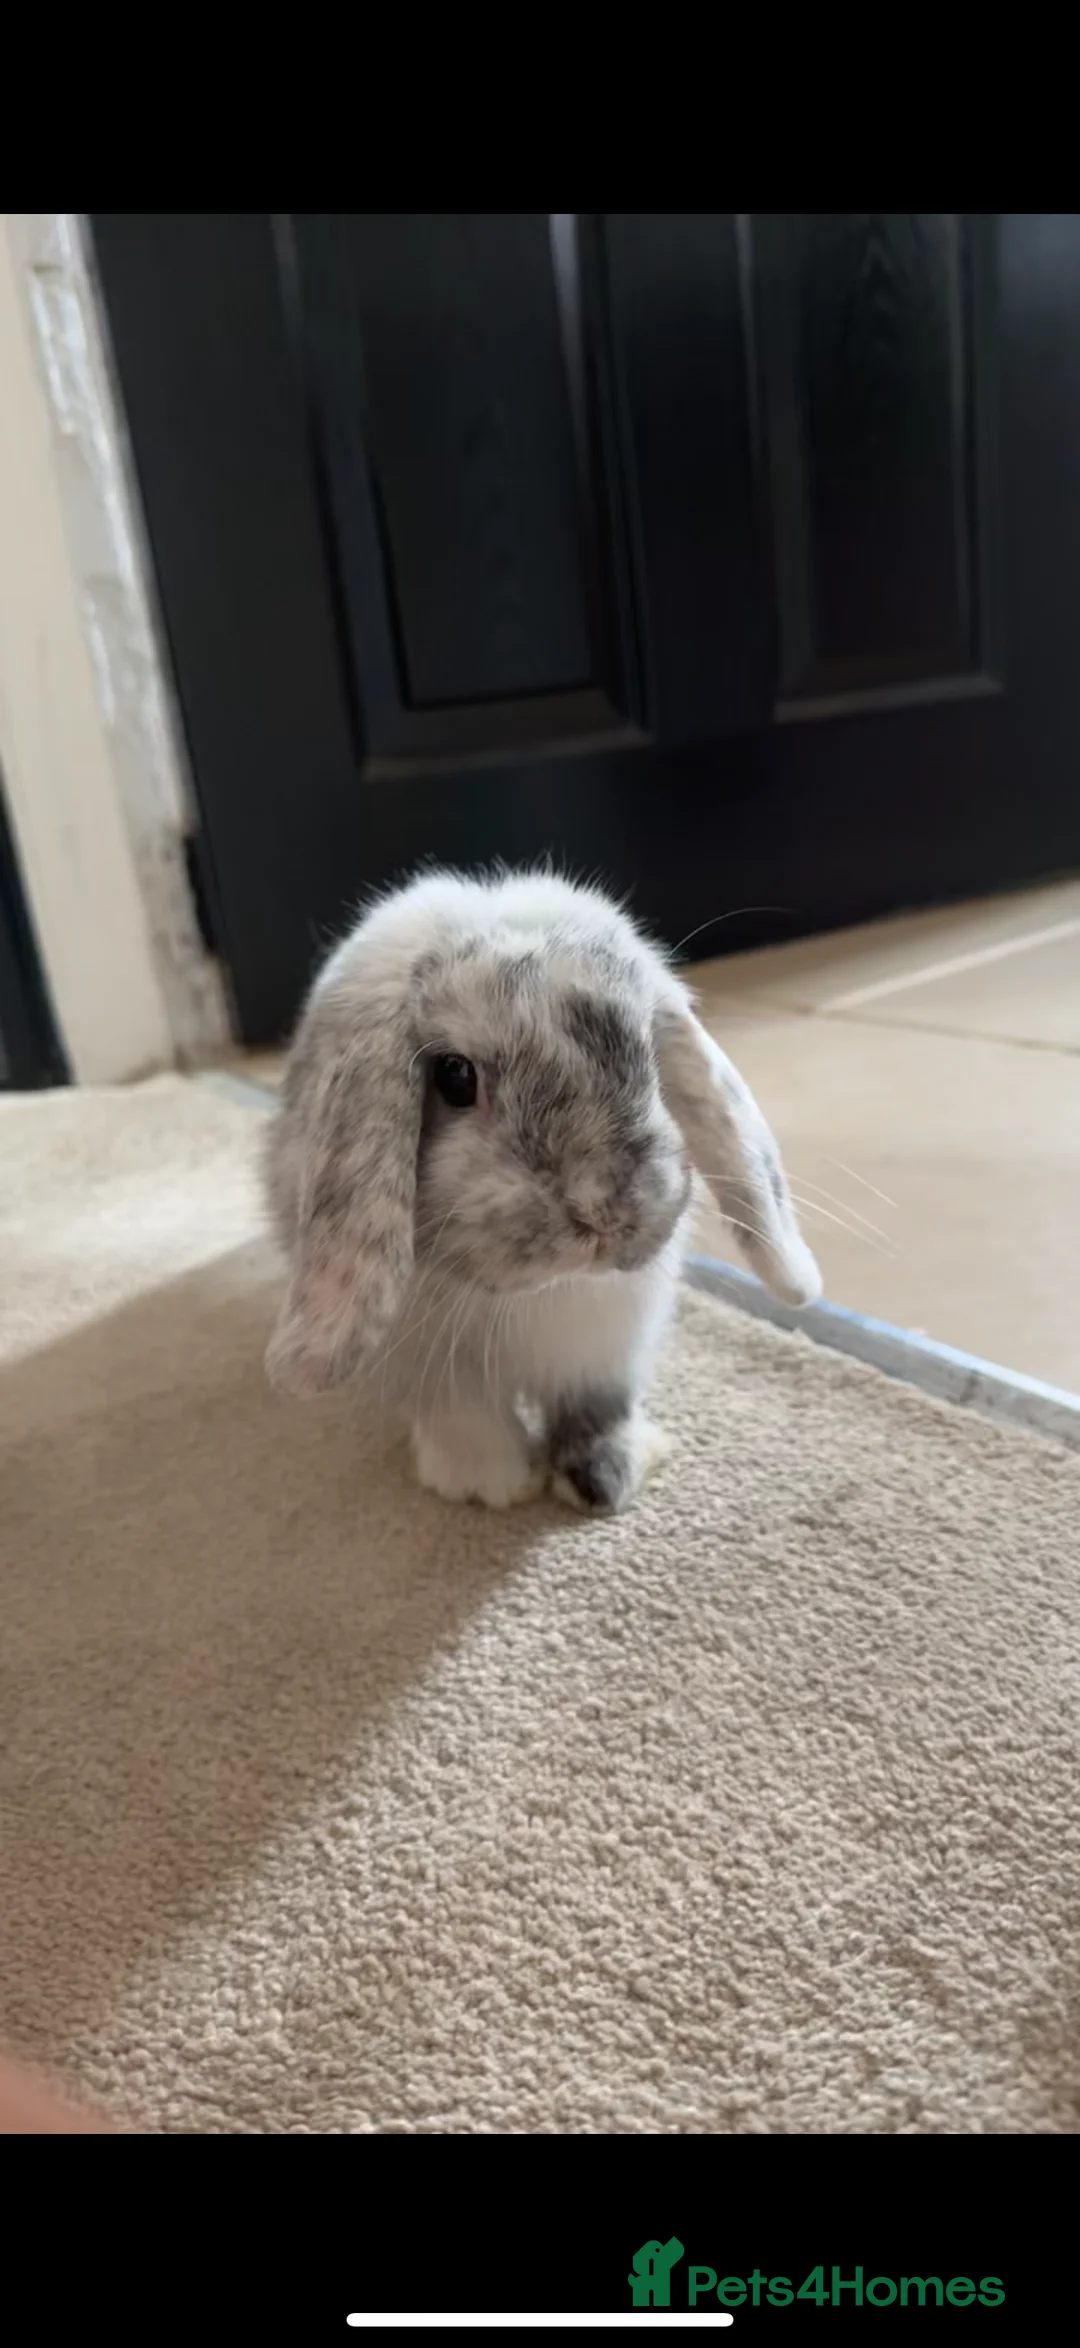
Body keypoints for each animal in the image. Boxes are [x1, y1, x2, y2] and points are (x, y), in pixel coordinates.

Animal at [263, 867, 821, 1513]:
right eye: (454, 1076)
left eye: (648, 1056)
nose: (604, 1216)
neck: (538, 1294)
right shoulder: (432, 1368)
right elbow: (466, 1420)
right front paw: (493, 1486)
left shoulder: (607, 1349)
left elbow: (599, 1409)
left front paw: (607, 1478)